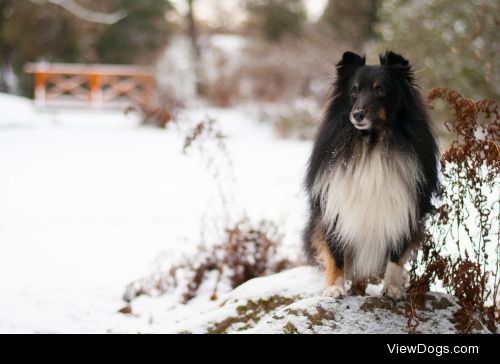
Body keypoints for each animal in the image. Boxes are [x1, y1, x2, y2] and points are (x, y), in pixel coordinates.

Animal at [300, 52, 438, 302]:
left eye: (380, 90)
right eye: (354, 90)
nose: (357, 115)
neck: (371, 142)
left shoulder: (404, 210)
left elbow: (396, 255)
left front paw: (392, 288)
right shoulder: (334, 207)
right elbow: (335, 254)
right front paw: (334, 288)